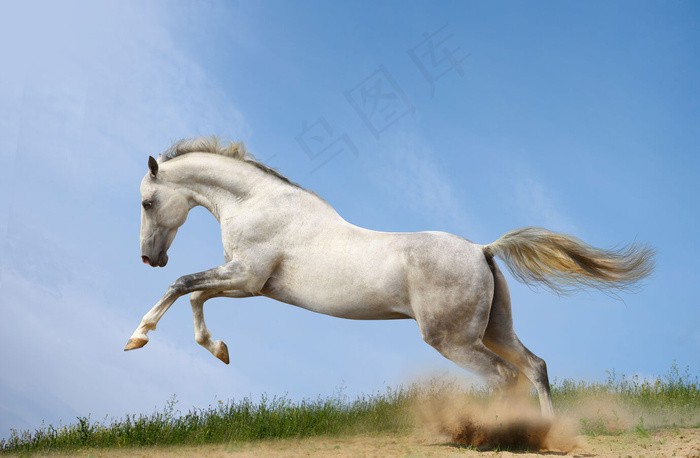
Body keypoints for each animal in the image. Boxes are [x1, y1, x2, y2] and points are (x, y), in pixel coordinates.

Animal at [125, 136, 655, 417]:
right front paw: (220, 350)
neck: (257, 204)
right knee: (535, 367)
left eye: (147, 202)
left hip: (454, 340)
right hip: (494, 330)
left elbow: (182, 287)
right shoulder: (248, 284)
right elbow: (196, 297)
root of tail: (482, 250)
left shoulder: (246, 277)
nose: (150, 258)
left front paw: (137, 339)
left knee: (505, 378)